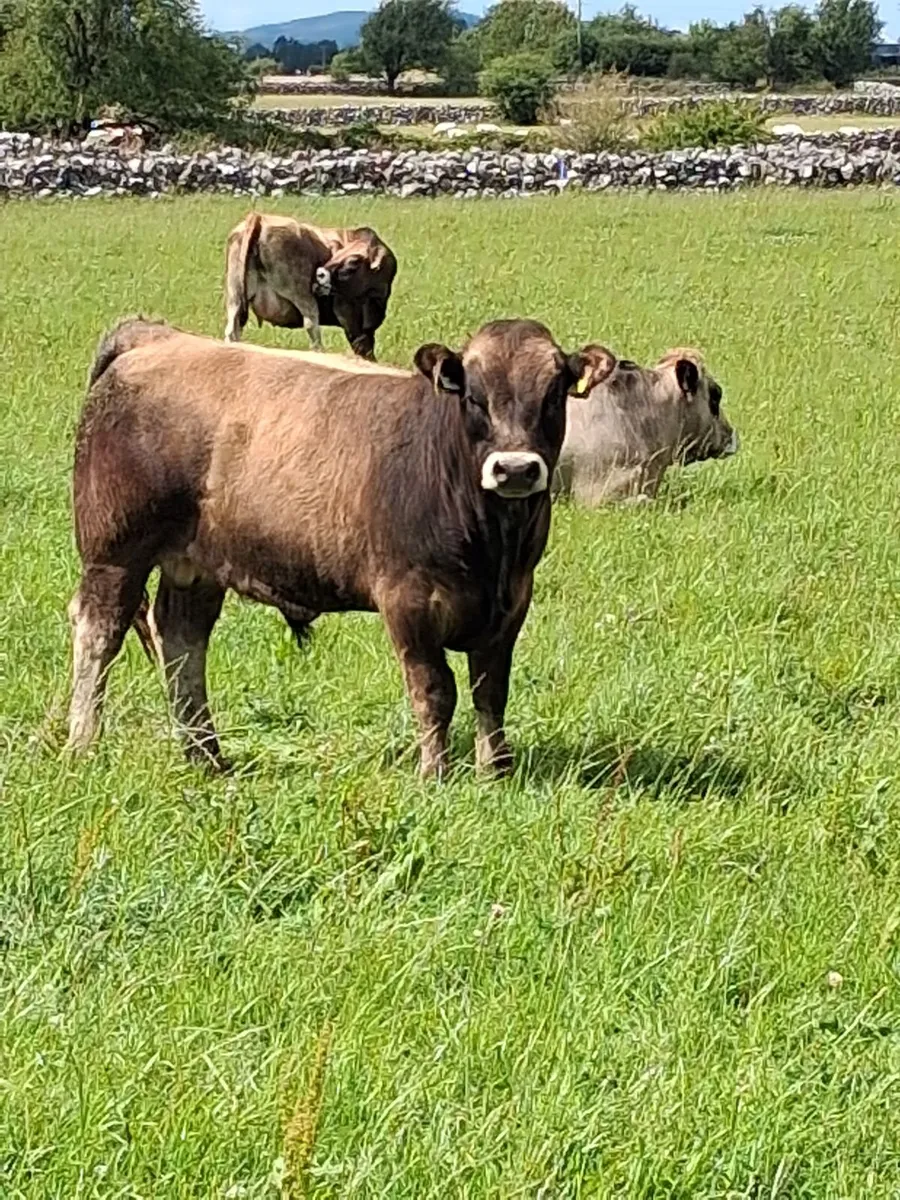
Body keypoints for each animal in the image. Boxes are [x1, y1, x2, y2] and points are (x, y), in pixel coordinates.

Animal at [67, 316, 616, 777]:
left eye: (554, 395)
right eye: (474, 397)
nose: (516, 469)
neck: (492, 545)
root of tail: (156, 337)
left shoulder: (511, 603)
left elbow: (491, 690)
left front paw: (495, 772)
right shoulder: (407, 601)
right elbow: (435, 690)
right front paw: (434, 774)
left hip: (196, 563)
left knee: (183, 641)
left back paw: (207, 756)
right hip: (115, 554)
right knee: (100, 634)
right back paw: (83, 744)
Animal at [224, 212, 397, 361]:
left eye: (353, 261)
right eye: (339, 254)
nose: (319, 273)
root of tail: (260, 217)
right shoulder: (348, 312)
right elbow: (362, 346)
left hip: (235, 297)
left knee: (232, 329)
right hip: (302, 295)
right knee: (312, 327)